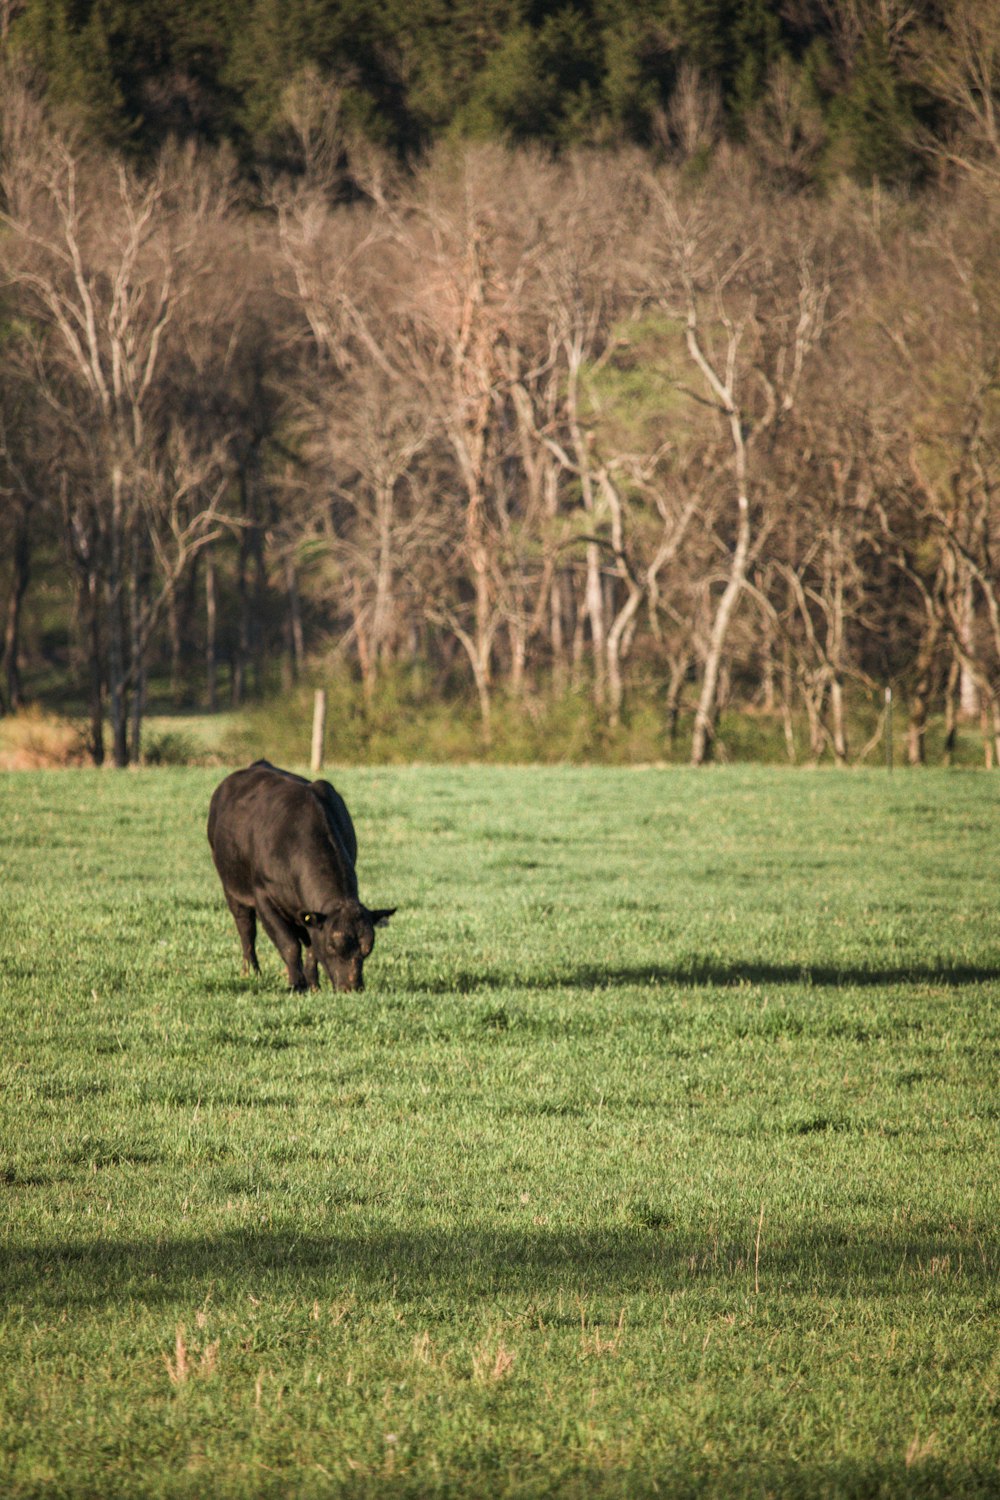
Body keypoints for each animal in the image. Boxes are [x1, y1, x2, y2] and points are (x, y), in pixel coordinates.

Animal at [206, 762, 395, 996]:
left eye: (367, 949)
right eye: (332, 945)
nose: (351, 988)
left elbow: (312, 948)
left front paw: (313, 984)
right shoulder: (264, 899)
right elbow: (289, 944)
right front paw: (296, 984)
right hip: (232, 889)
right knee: (246, 930)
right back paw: (251, 971)